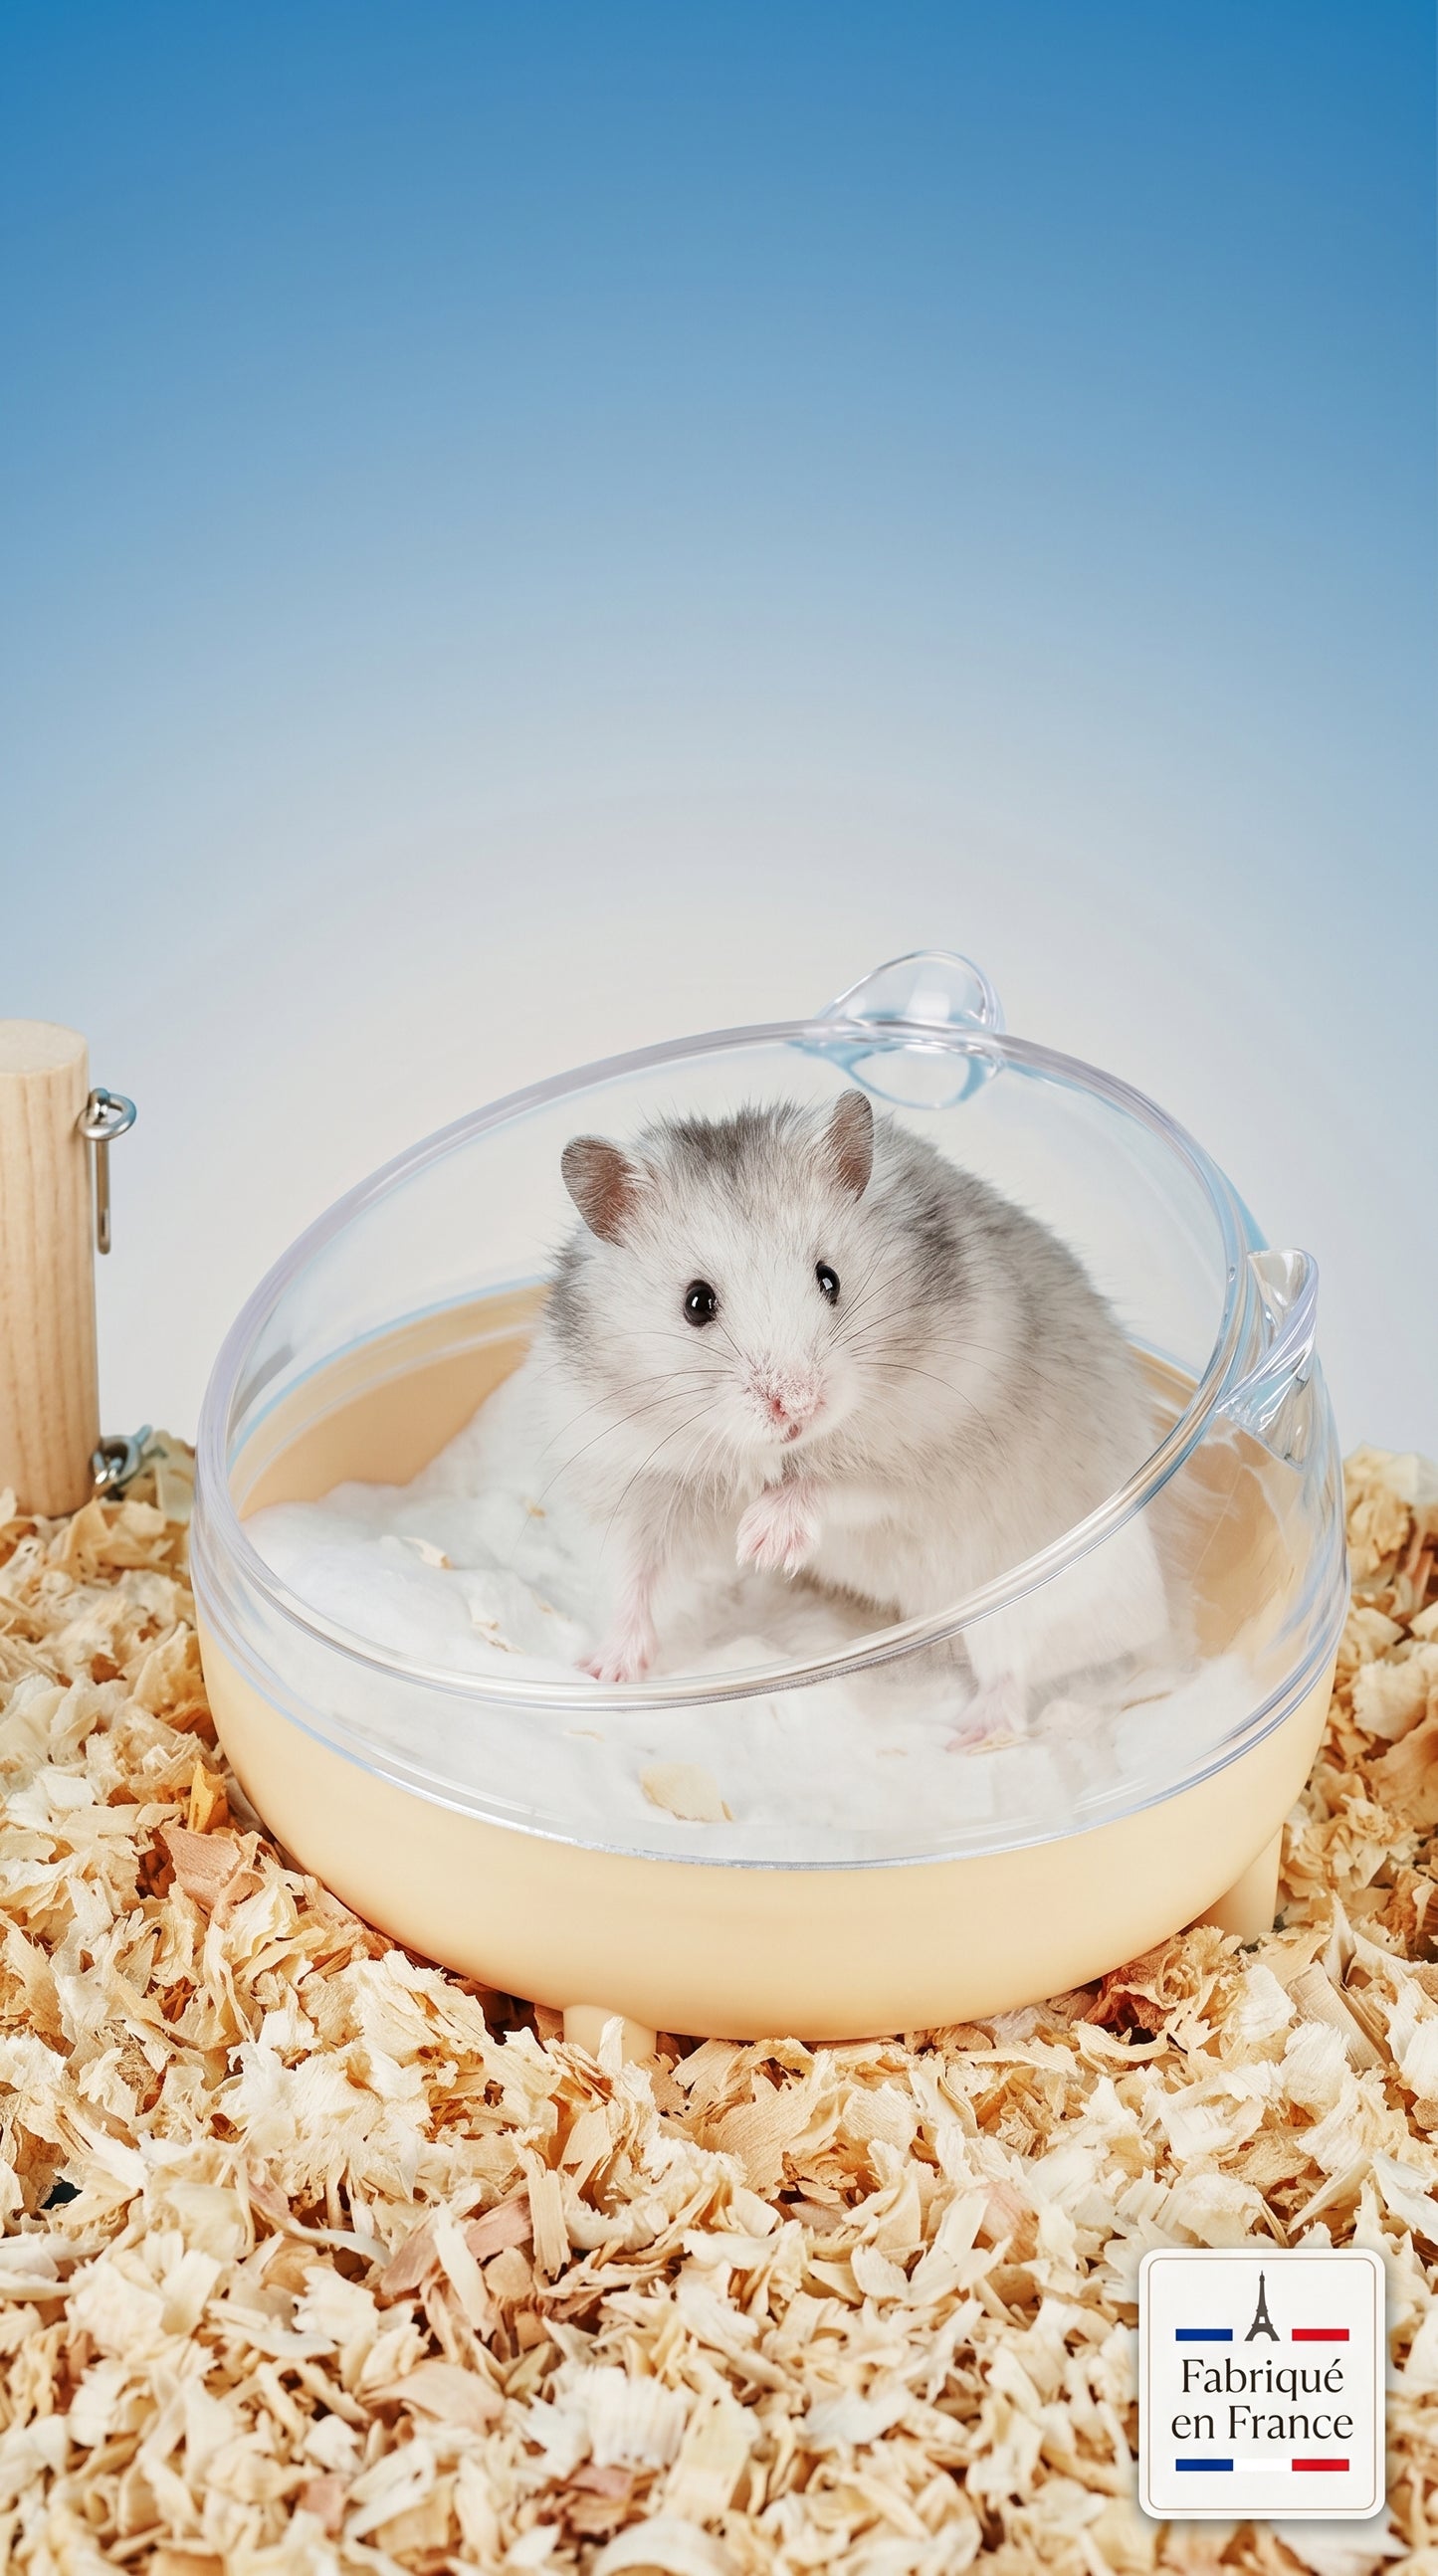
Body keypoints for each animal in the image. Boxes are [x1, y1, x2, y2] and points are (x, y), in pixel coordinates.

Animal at [536, 1090, 1170, 1712]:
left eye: (829, 1278)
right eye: (697, 1302)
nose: (798, 1405)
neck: (775, 1451)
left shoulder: (923, 1450)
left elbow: (837, 1485)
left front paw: (763, 1540)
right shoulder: (631, 1476)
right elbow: (632, 1577)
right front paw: (604, 1675)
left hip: (1031, 1595)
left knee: (1015, 1680)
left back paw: (973, 1728)